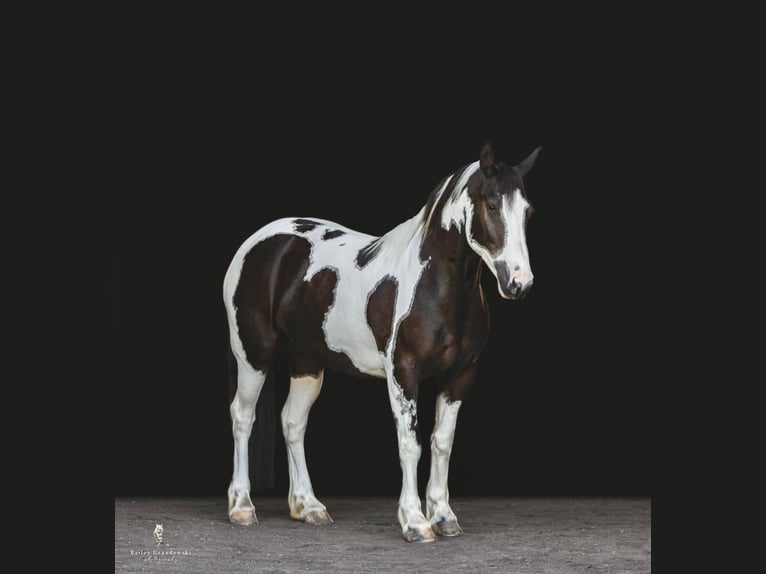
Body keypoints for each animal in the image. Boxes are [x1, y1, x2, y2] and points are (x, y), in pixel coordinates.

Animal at [225, 142, 544, 544]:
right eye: (491, 204)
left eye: (527, 211)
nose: (520, 283)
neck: (436, 287)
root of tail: (259, 242)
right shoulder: (403, 373)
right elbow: (411, 444)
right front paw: (415, 522)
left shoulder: (460, 375)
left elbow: (442, 442)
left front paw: (443, 516)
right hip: (252, 355)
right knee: (243, 417)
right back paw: (242, 507)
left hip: (307, 362)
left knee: (293, 422)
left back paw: (309, 507)